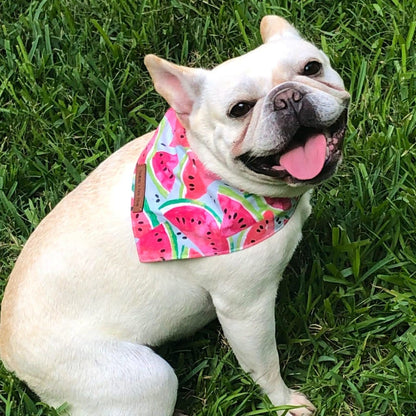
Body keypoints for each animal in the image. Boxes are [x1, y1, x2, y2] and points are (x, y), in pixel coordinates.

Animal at [0, 16, 350, 416]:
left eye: (311, 68)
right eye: (239, 109)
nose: (287, 97)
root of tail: (11, 357)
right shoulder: (245, 308)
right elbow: (264, 364)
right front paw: (283, 403)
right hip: (145, 379)